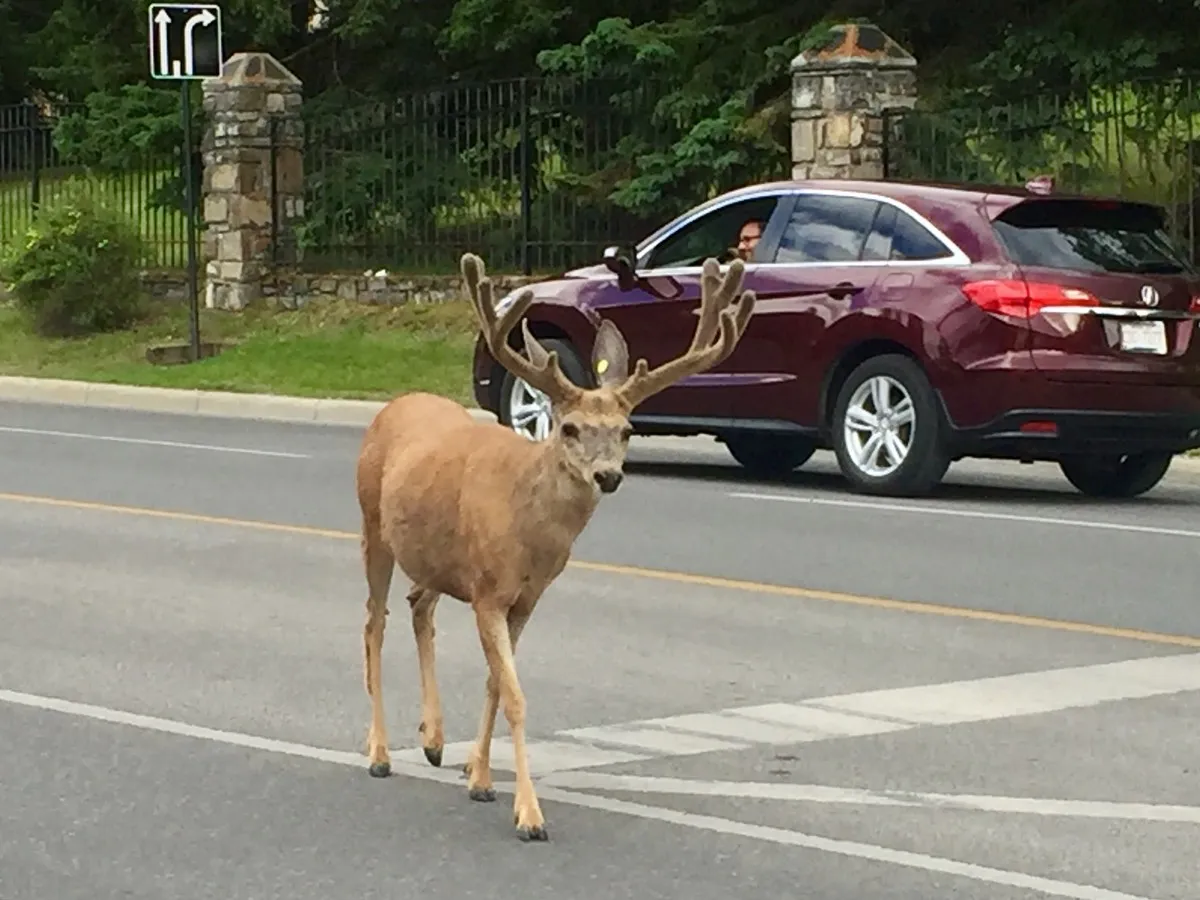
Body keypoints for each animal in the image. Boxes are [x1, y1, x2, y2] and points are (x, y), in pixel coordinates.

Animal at [353, 250, 756, 841]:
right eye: (569, 428)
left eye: (627, 430)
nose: (609, 476)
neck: (529, 535)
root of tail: (392, 405)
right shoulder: (489, 592)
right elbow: (516, 695)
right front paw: (529, 814)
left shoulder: (525, 598)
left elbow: (497, 685)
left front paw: (480, 778)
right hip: (372, 526)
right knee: (373, 622)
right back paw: (379, 752)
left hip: (436, 560)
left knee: (417, 606)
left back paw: (433, 741)